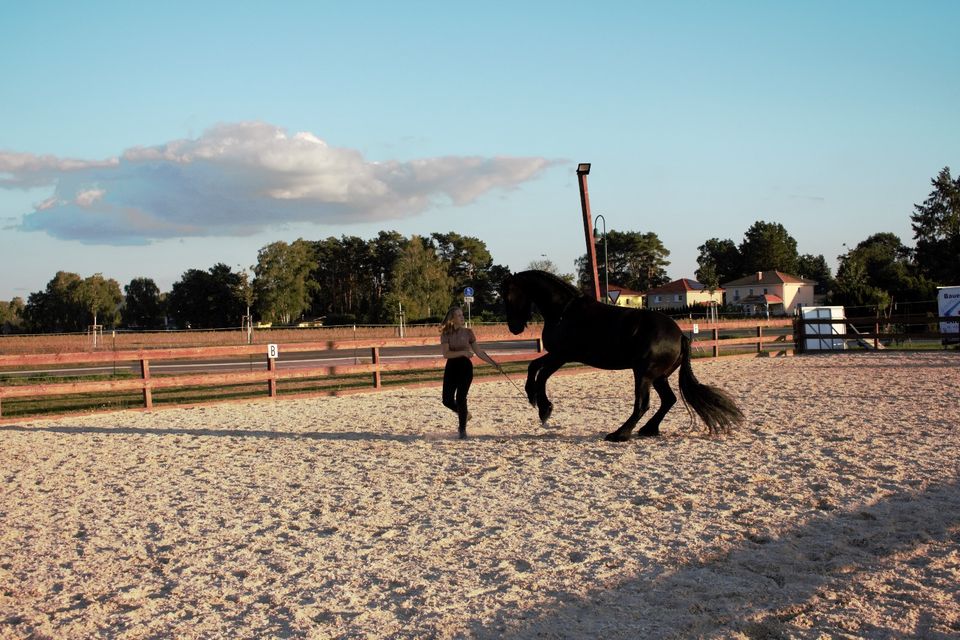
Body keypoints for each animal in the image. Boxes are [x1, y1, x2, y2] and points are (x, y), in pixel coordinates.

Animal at [502, 270, 744, 440]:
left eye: (508, 296)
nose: (514, 327)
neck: (564, 312)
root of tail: (680, 336)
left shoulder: (562, 355)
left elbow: (540, 373)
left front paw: (543, 407)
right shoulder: (558, 355)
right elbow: (534, 366)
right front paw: (535, 399)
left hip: (644, 374)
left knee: (642, 405)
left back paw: (620, 434)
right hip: (658, 377)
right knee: (668, 400)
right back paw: (648, 429)